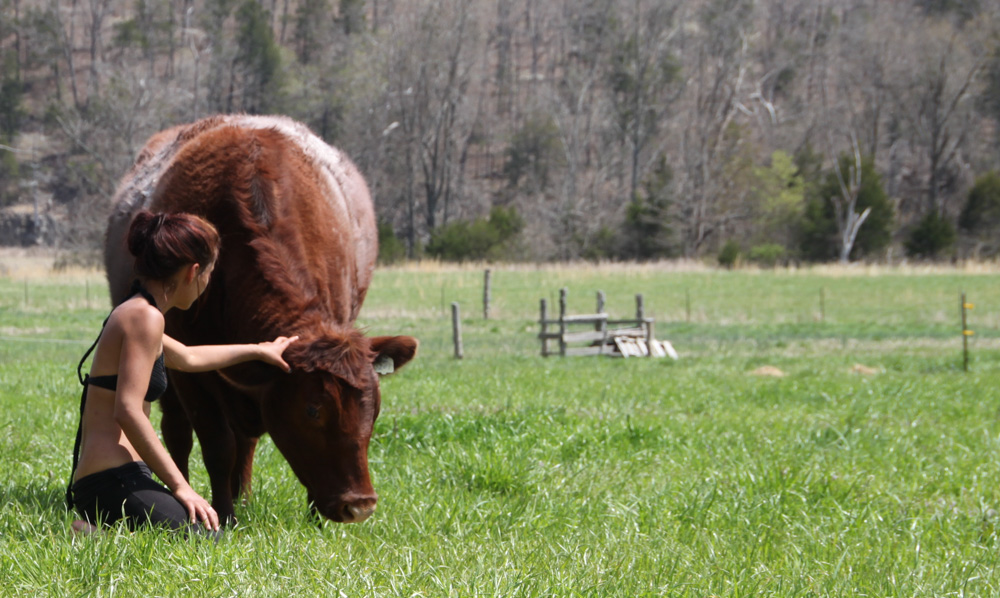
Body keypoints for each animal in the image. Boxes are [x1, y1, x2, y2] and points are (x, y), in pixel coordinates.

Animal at [104, 115, 418, 524]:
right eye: (313, 409)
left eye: (375, 407)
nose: (360, 505)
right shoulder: (190, 372)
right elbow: (216, 444)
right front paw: (223, 512)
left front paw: (310, 516)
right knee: (178, 433)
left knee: (245, 438)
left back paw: (245, 495)